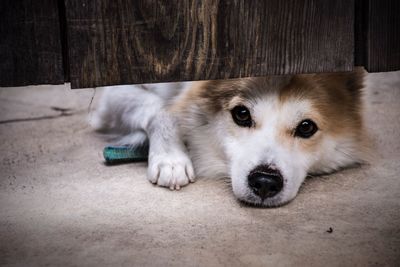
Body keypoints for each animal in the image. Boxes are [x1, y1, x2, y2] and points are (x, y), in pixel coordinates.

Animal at [90, 69, 368, 207]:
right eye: (242, 114)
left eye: (306, 127)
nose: (265, 182)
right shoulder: (114, 93)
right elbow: (164, 109)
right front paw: (171, 159)